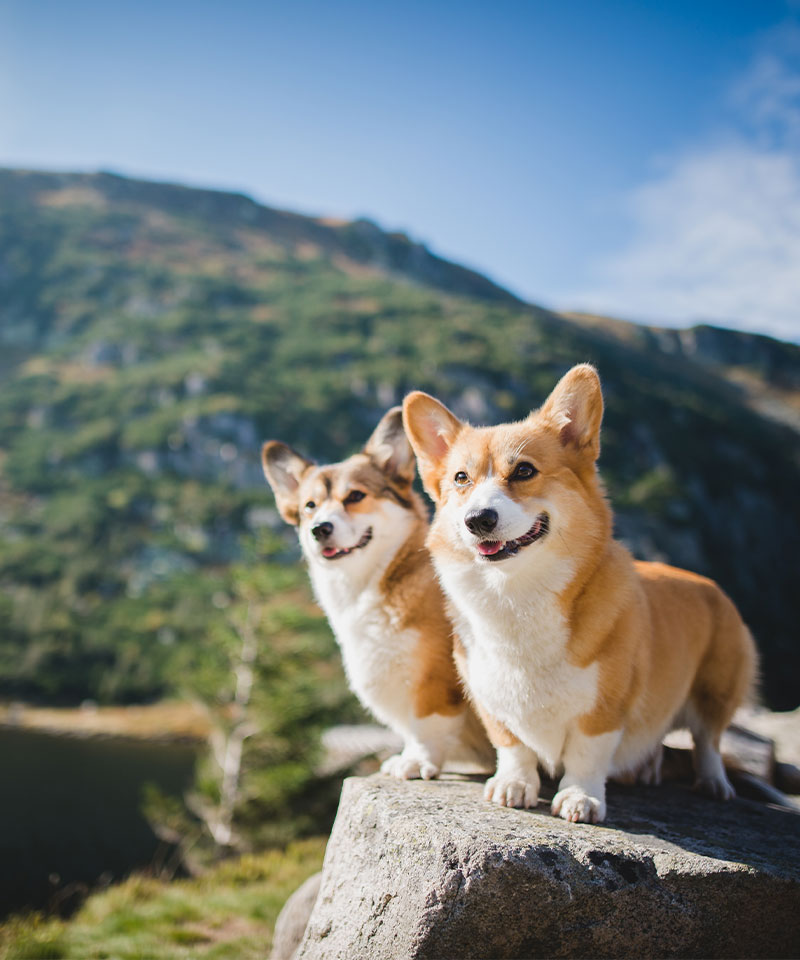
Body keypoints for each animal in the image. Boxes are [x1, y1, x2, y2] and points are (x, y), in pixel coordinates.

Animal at [260, 404, 494, 780]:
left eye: (355, 496)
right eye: (310, 506)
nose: (319, 529)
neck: (370, 584)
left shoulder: (435, 680)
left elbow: (427, 724)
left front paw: (418, 761)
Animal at [404, 364, 760, 820]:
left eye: (524, 471)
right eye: (461, 478)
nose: (478, 520)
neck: (516, 595)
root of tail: (709, 584)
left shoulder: (605, 706)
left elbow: (587, 755)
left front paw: (580, 797)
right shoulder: (490, 699)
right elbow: (513, 746)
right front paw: (513, 784)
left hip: (717, 687)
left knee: (709, 741)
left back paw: (713, 783)